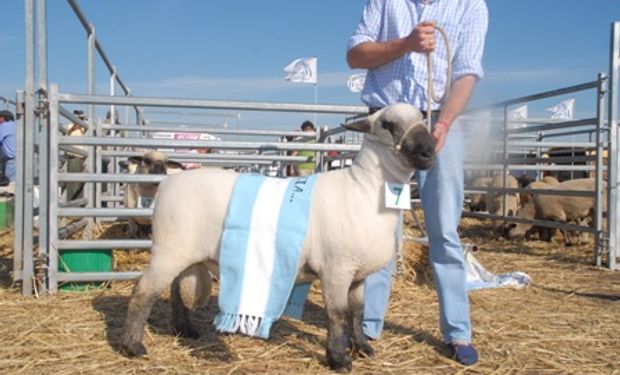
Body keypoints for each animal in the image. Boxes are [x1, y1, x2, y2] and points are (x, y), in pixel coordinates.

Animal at [118, 103, 434, 374]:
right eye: (387, 124)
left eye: (423, 118)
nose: (429, 150)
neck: (364, 191)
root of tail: (168, 182)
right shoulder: (337, 268)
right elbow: (337, 315)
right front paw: (339, 358)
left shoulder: (358, 274)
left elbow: (356, 312)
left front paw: (363, 348)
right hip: (169, 250)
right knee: (143, 291)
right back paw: (133, 346)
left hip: (183, 253)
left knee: (173, 290)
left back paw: (185, 330)